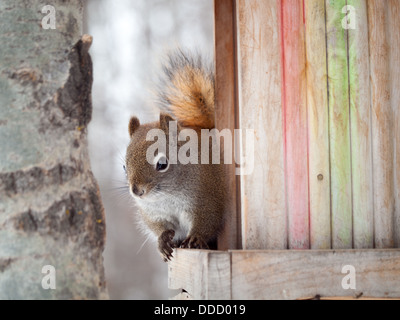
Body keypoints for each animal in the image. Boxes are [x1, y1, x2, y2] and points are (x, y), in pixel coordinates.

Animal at [124, 49, 225, 260]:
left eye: (162, 164)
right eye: (124, 166)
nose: (137, 191)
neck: (168, 196)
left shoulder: (208, 201)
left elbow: (207, 222)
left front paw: (196, 238)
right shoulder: (153, 213)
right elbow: (158, 227)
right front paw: (163, 240)